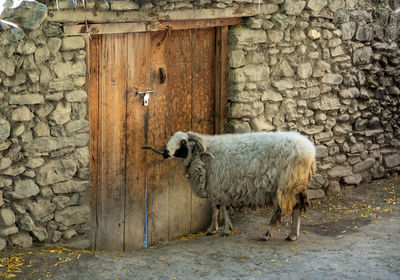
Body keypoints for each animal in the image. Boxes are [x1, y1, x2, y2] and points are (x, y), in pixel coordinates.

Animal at [142, 131, 318, 241]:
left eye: (183, 142)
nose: (165, 153)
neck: (203, 156)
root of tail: (309, 151)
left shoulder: (219, 184)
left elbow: (220, 207)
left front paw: (221, 230)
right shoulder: (220, 186)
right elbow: (219, 207)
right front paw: (218, 229)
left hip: (284, 185)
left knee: (281, 210)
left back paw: (267, 234)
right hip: (296, 185)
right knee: (297, 208)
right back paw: (292, 235)